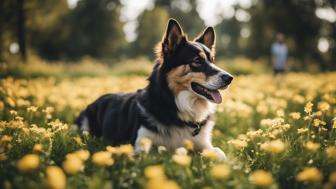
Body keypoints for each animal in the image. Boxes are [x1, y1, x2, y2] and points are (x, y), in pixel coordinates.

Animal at [75, 18, 234, 159]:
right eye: (197, 61)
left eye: (212, 61)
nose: (229, 78)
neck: (174, 104)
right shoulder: (140, 141)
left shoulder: (204, 144)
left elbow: (220, 153)